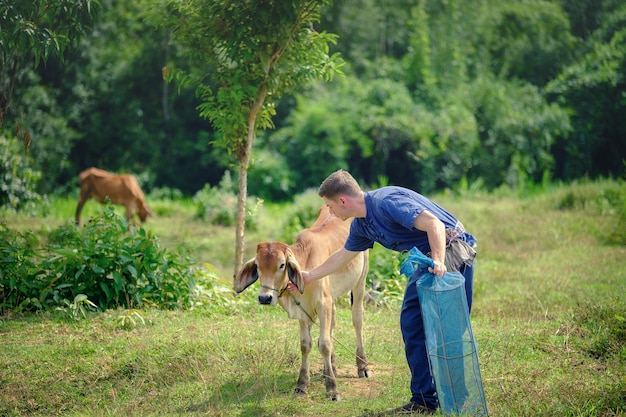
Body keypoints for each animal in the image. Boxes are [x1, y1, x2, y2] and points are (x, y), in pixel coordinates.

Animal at [234, 205, 370, 400]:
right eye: (258, 266)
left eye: (282, 265)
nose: (265, 298)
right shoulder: (304, 310)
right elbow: (306, 345)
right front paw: (302, 385)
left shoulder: (323, 304)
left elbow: (324, 344)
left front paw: (332, 389)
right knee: (332, 324)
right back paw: (331, 367)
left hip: (360, 281)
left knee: (357, 320)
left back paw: (362, 366)